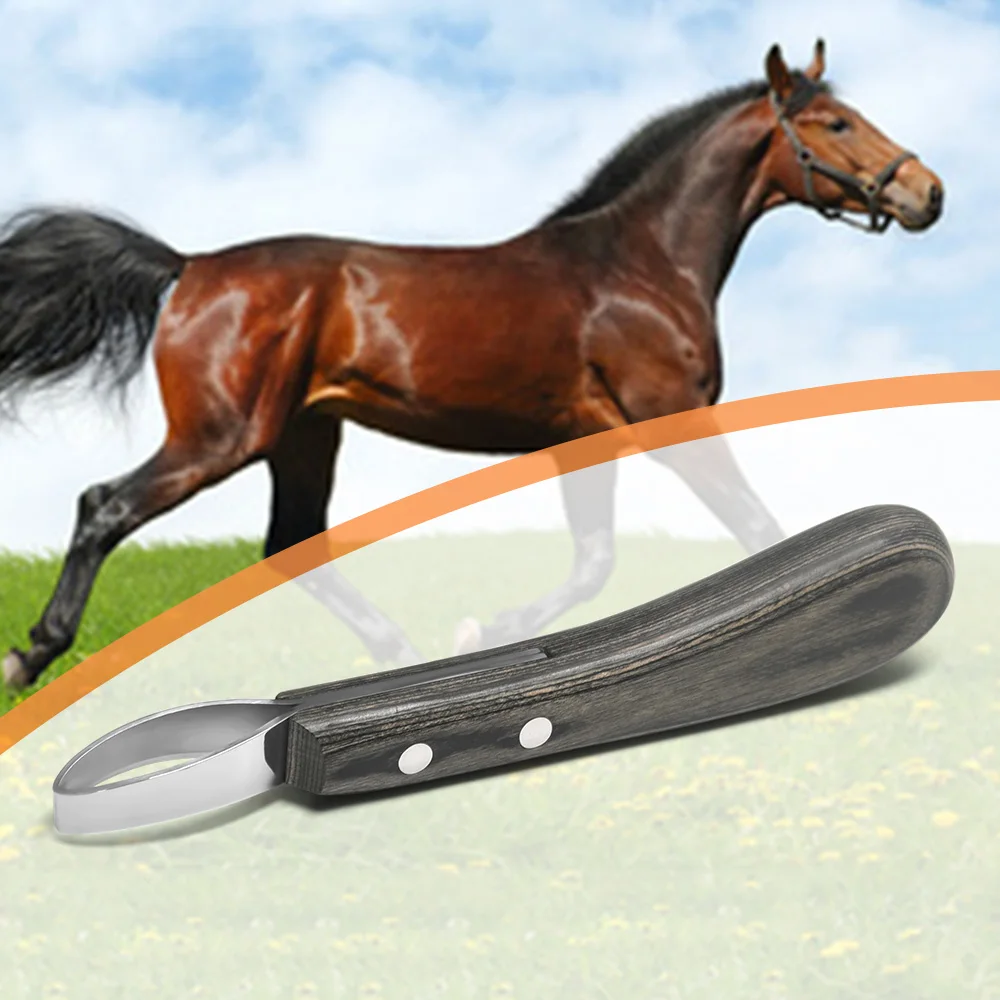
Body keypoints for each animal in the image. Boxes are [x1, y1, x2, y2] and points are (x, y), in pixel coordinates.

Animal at [0, 39, 943, 691]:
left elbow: (595, 561)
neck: (637, 265)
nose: (926, 192)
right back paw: (32, 655)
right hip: (223, 434)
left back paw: (398, 654)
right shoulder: (671, 422)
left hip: (303, 435)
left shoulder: (588, 441)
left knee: (290, 545)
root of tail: (190, 264)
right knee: (104, 506)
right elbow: (757, 531)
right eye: (835, 124)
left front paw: (485, 636)